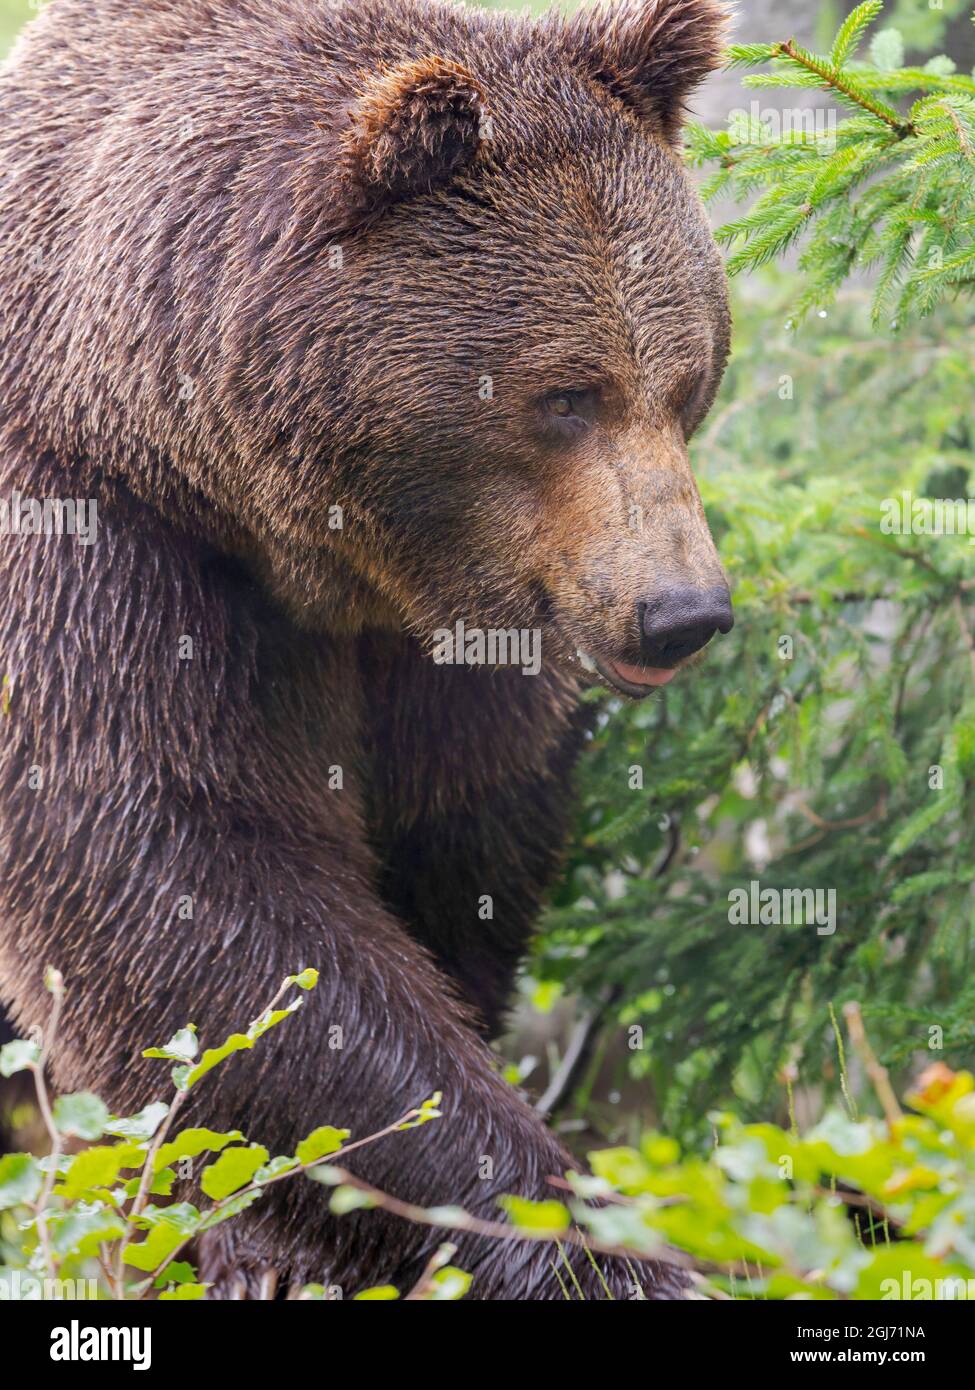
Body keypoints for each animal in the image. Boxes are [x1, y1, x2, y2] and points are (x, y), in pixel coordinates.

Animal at [0, 0, 734, 1299]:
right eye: (568, 396)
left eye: (689, 378)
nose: (682, 609)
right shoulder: (99, 539)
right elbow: (183, 884)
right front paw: (565, 1233)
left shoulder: (461, 635)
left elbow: (458, 839)